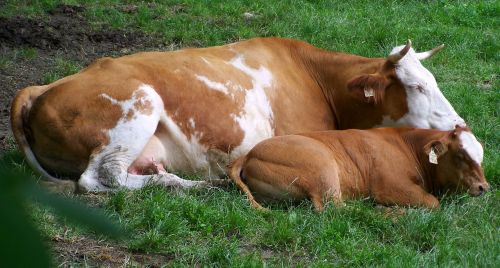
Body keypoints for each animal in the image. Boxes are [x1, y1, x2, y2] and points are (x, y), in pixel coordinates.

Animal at [11, 37, 464, 192]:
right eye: (417, 87)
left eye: (432, 80)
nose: (459, 124)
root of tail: (42, 87)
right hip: (139, 103)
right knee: (99, 177)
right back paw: (190, 186)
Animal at [229, 126, 488, 210]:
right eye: (460, 154)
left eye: (481, 154)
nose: (483, 187)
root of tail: (249, 153)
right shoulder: (391, 186)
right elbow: (433, 203)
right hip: (322, 165)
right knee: (336, 209)